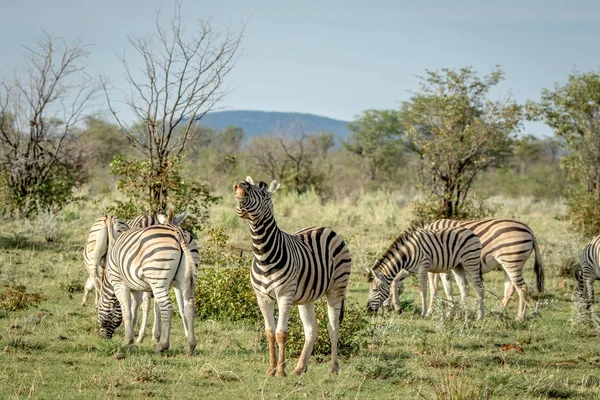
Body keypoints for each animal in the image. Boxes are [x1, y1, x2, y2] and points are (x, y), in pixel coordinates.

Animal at [98, 217, 199, 354]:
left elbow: (127, 312)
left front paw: (127, 341)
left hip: (157, 277)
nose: (103, 338)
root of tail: (179, 234)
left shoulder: (119, 283)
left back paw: (162, 345)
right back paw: (191, 346)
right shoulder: (136, 289)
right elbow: (134, 313)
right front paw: (132, 339)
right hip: (185, 279)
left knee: (168, 308)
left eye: (99, 309)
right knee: (189, 305)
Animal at [232, 177, 350, 376]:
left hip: (336, 289)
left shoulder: (284, 296)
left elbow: (281, 333)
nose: (241, 184)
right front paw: (271, 369)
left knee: (333, 328)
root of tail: (325, 228)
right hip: (307, 296)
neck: (263, 255)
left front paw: (280, 371)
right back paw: (299, 368)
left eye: (263, 194)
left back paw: (334, 368)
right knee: (311, 329)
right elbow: (269, 333)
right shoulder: (262, 298)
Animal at [392, 217, 548, 320]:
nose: (393, 311)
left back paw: (520, 317)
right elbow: (448, 289)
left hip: (512, 260)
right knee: (510, 288)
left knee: (522, 288)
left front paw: (434, 311)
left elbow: (437, 288)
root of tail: (529, 229)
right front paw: (452, 311)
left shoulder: (438, 265)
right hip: (508, 263)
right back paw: (497, 312)